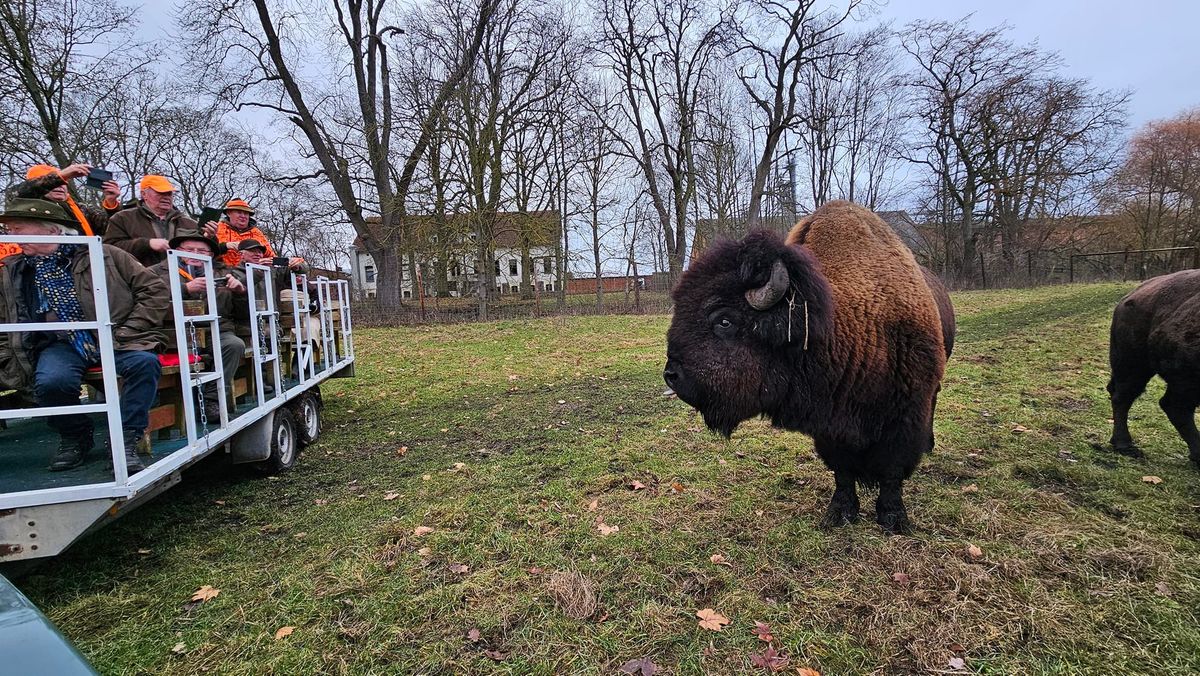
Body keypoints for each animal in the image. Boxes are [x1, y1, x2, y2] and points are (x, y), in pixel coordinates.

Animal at [662, 200, 950, 535]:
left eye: (724, 320)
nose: (672, 375)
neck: (838, 325)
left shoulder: (904, 416)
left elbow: (893, 471)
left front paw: (893, 519)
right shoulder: (831, 426)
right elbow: (842, 471)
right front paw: (840, 513)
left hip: (931, 392)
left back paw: (929, 446)